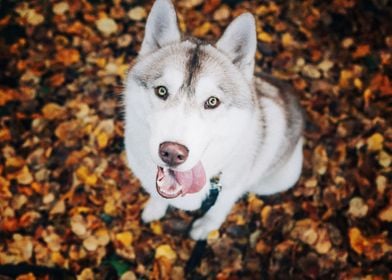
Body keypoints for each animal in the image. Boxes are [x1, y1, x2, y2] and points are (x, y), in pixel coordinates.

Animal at [124, 0, 304, 241]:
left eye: (212, 101)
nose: (172, 152)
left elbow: (217, 210)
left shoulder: (229, 190)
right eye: (162, 91)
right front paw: (155, 208)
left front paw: (205, 228)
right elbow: (158, 195)